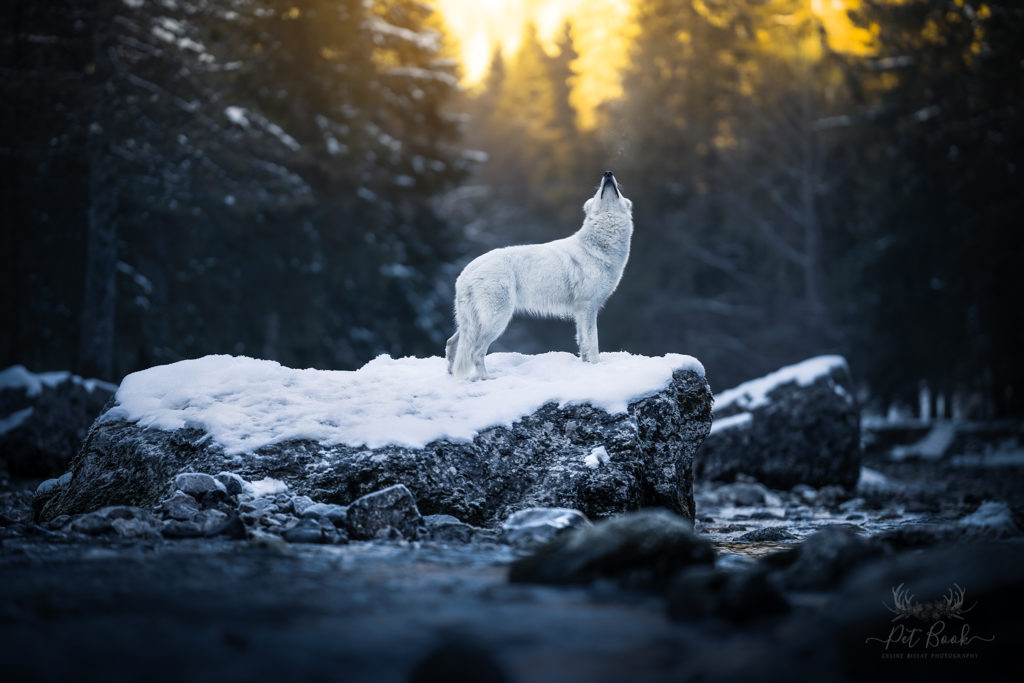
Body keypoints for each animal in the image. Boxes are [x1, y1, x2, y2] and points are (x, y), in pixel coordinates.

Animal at [446, 169, 630, 378]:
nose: (608, 173)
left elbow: (582, 344)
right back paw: (487, 378)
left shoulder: (580, 312)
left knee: (451, 344)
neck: (598, 246)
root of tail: (466, 272)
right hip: (497, 320)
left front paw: (585, 365)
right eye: (599, 191)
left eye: (617, 191)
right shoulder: (588, 308)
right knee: (475, 352)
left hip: (470, 324)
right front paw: (597, 366)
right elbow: (592, 343)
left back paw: (452, 375)